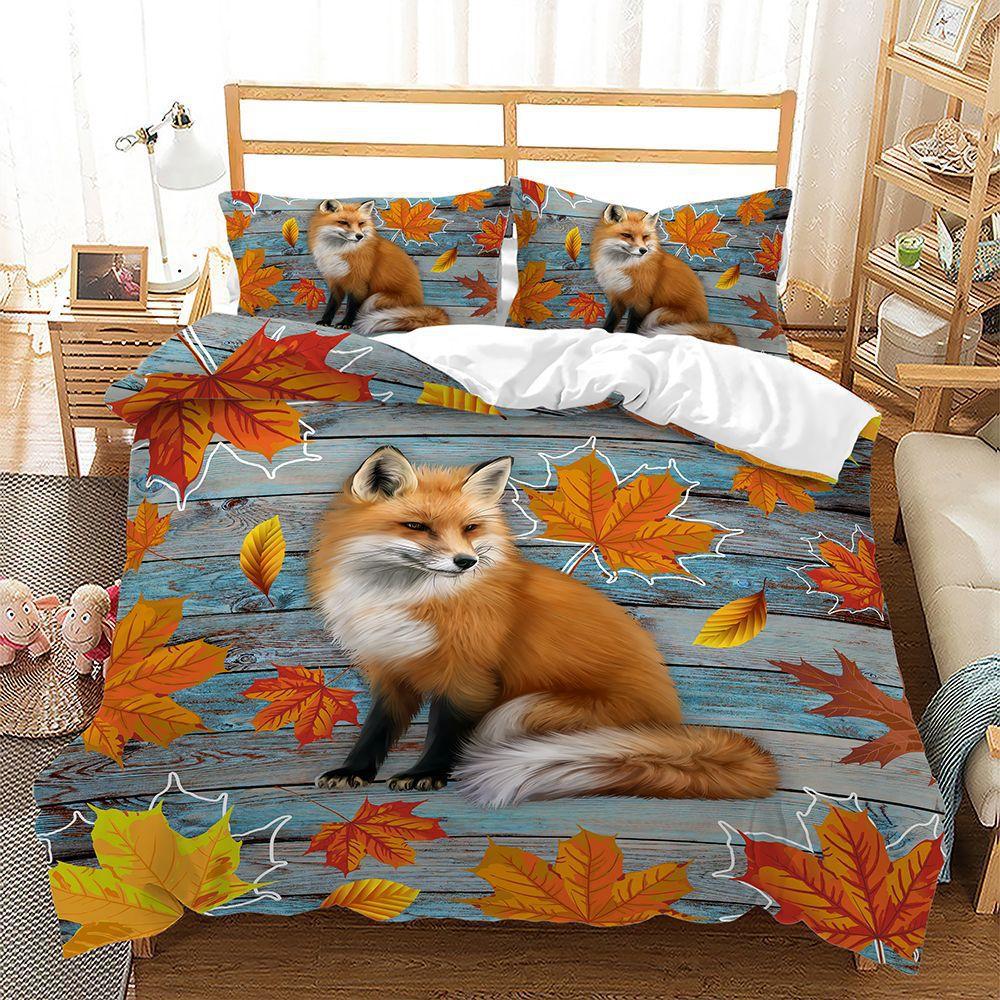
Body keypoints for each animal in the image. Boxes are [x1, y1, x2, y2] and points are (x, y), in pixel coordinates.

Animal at [307, 445, 778, 808]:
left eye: (470, 528)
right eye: (417, 527)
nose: (467, 561)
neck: (406, 600)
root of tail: (670, 726)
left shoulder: (468, 675)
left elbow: (443, 733)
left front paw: (428, 773)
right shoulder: (390, 669)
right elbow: (376, 729)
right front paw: (352, 770)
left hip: (518, 710)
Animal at [308, 200, 449, 335]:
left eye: (361, 223)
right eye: (343, 222)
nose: (359, 236)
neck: (340, 251)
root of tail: (419, 304)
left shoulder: (359, 282)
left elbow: (352, 307)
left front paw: (346, 323)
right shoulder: (335, 279)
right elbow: (332, 304)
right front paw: (325, 321)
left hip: (374, 299)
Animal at [590, 204, 738, 345]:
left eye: (645, 237)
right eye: (627, 235)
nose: (643, 250)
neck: (621, 265)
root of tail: (704, 322)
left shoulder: (641, 300)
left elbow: (632, 327)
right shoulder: (616, 296)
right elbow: (610, 321)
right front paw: (603, 334)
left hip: (656, 314)